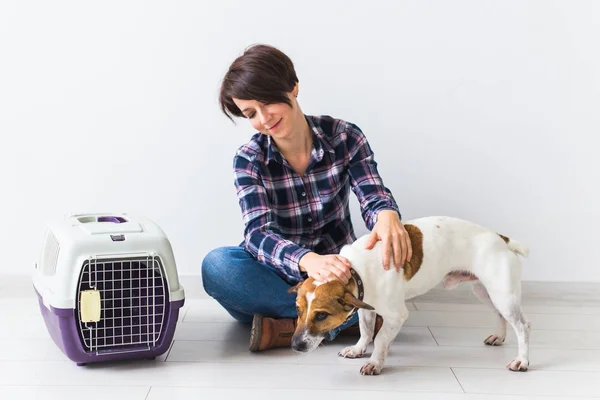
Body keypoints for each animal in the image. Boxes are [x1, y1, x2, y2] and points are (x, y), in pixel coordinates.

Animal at [288, 216, 528, 376]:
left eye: (321, 316)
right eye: (298, 310)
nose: (295, 346)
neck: (356, 269)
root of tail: (500, 238)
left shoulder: (396, 316)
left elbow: (380, 338)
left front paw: (375, 362)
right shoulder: (366, 307)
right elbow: (366, 332)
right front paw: (358, 349)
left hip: (503, 295)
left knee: (523, 326)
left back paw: (522, 360)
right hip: (486, 292)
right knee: (500, 315)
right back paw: (498, 337)